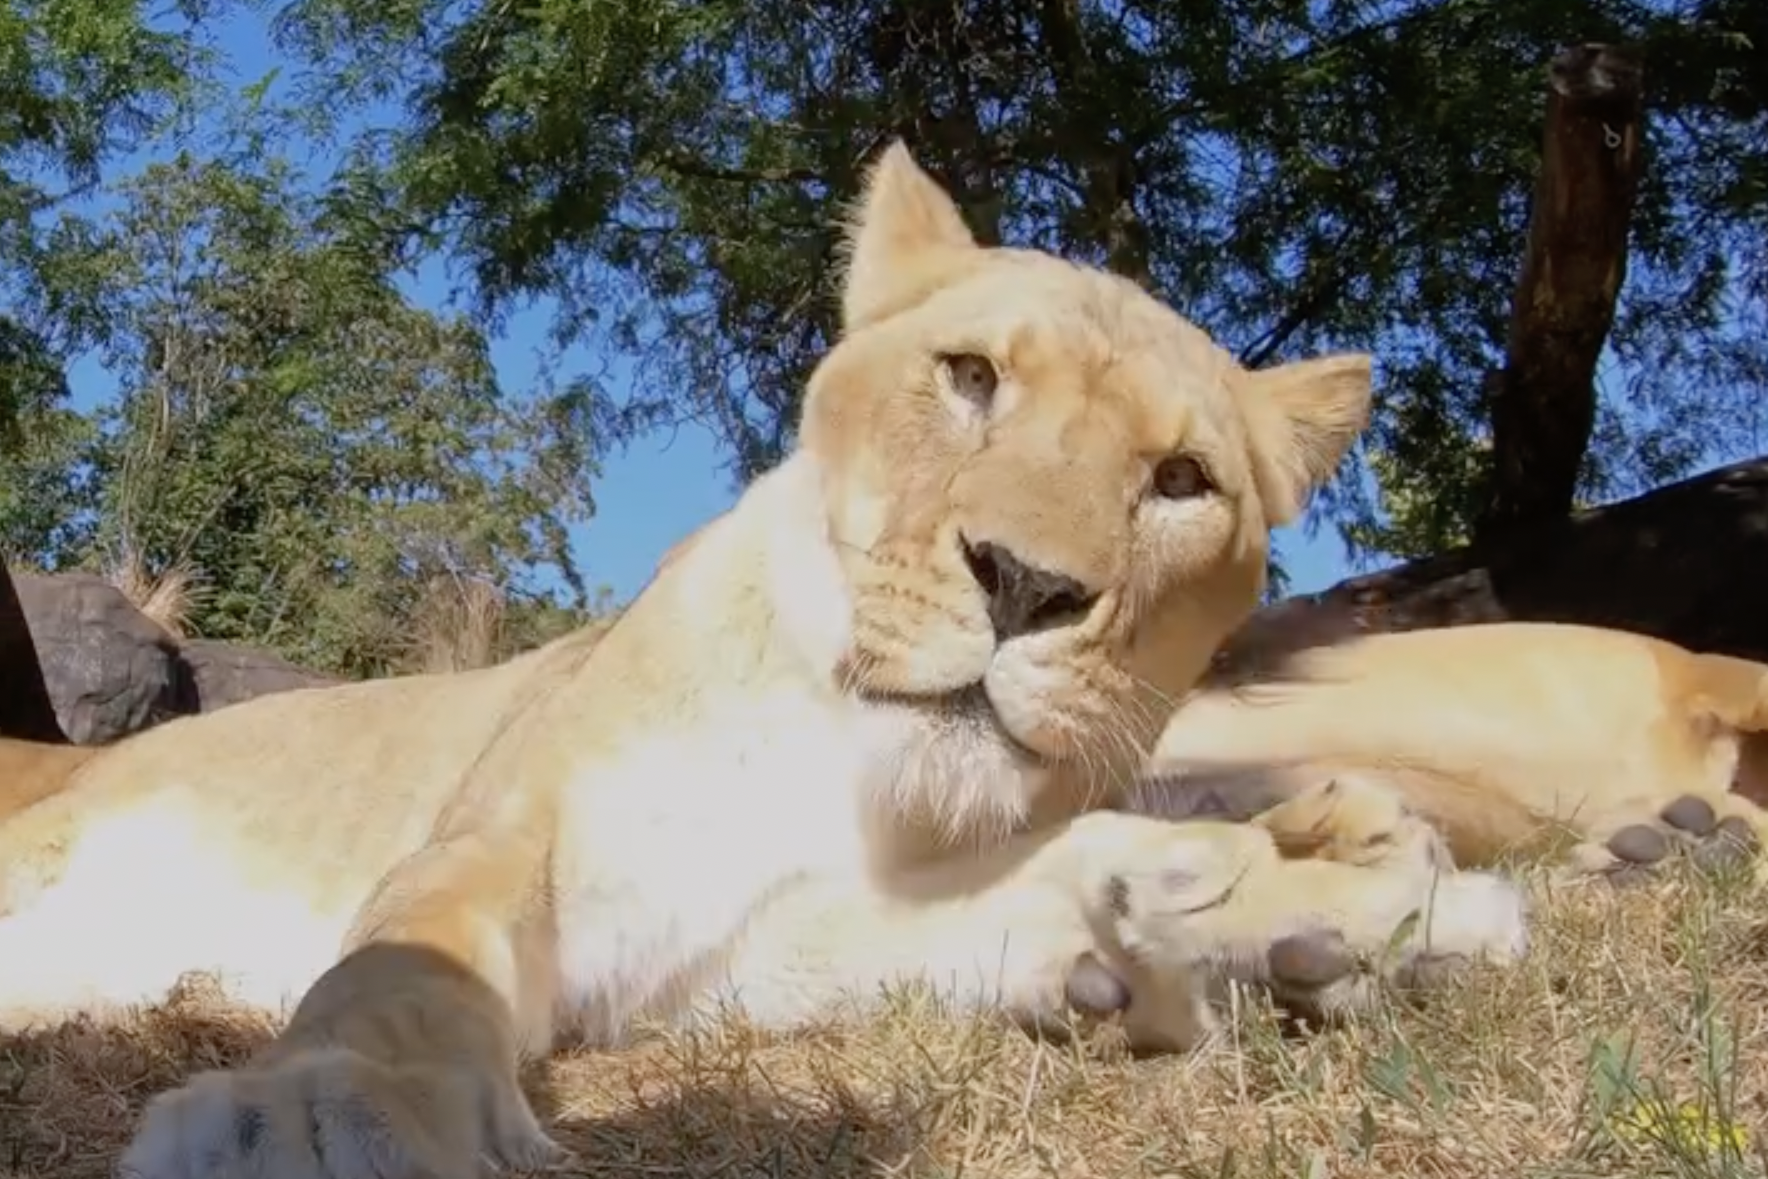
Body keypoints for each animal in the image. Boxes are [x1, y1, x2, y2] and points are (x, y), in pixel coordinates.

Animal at [0, 143, 1534, 1173]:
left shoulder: (723, 957)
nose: (1027, 583)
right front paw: (327, 1117)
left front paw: (1324, 910)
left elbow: (1027, 887)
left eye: (1180, 479)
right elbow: (402, 969)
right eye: (970, 376)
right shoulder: (516, 834)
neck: (844, 759)